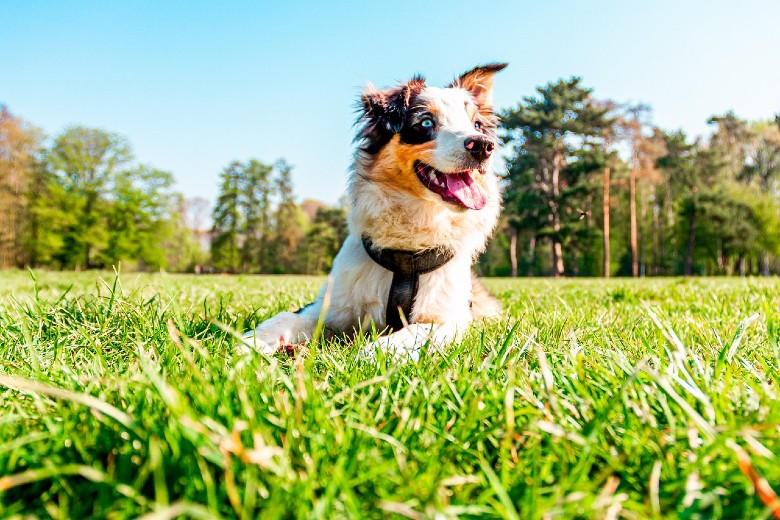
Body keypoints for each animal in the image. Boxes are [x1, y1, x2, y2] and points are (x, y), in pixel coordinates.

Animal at [247, 64, 508, 358]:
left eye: (476, 125)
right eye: (426, 123)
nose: (484, 145)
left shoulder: (448, 319)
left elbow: (408, 334)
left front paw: (366, 356)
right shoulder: (329, 306)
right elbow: (284, 318)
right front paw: (248, 341)